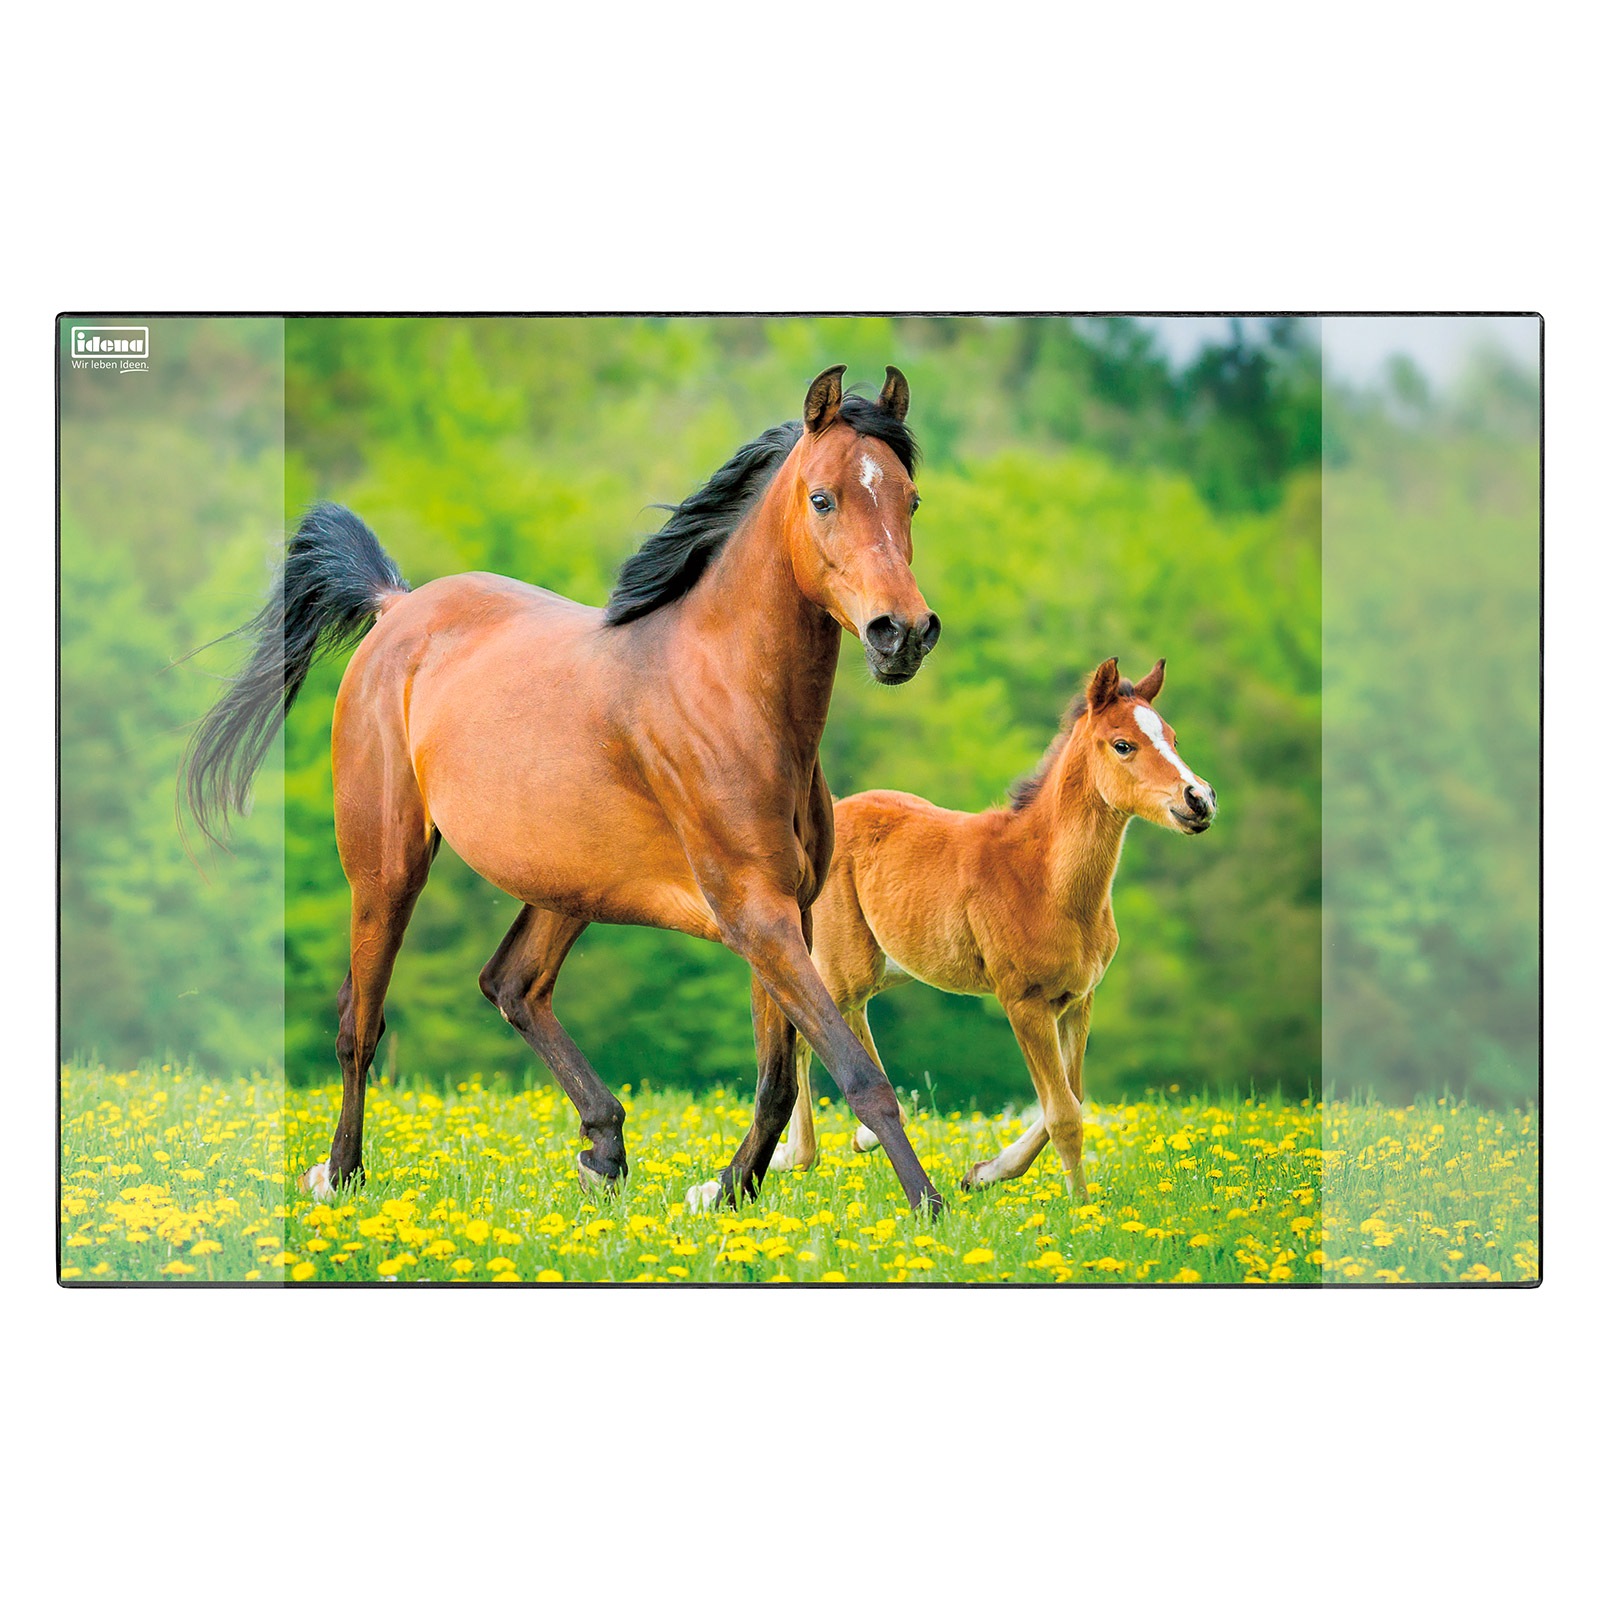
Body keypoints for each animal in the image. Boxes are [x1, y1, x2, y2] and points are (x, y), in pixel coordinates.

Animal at [182, 365, 949, 1215]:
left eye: (910, 499)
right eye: (823, 498)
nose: (902, 633)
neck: (733, 698)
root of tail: (396, 606)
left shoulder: (786, 913)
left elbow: (778, 1079)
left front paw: (725, 1191)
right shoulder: (756, 913)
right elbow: (857, 1074)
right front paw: (931, 1209)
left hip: (567, 883)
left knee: (512, 983)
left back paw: (604, 1147)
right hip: (388, 867)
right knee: (362, 1022)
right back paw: (340, 1174)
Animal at [767, 656, 1216, 1197]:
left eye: (1172, 737)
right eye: (1123, 744)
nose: (1199, 799)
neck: (1045, 879)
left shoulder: (1078, 1000)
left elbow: (1072, 1097)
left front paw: (985, 1172)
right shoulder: (1023, 1002)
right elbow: (1064, 1114)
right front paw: (1082, 1208)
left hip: (882, 967)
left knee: (841, 1020)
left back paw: (854, 1139)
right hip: (845, 963)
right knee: (809, 1023)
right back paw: (795, 1155)